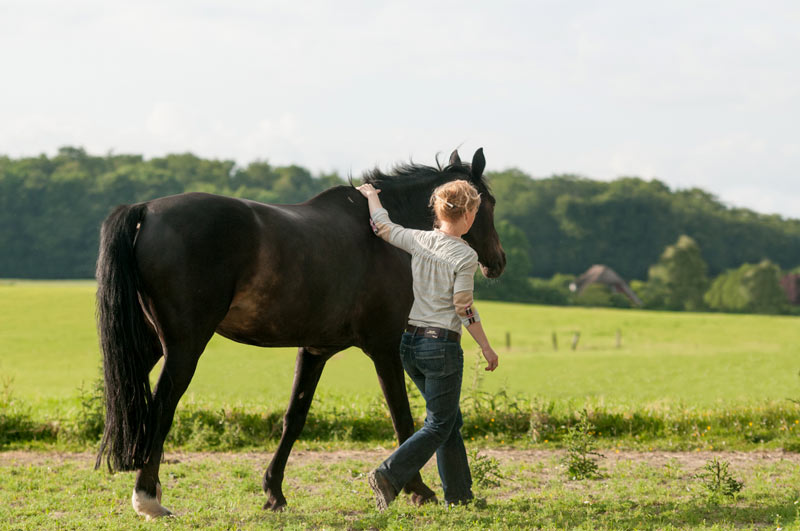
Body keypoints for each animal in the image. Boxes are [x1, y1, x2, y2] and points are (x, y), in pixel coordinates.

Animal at [95, 147, 506, 520]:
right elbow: (402, 418)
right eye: (489, 203)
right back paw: (148, 499)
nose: (498, 262)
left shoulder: (314, 350)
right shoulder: (385, 348)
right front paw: (417, 490)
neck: (384, 239)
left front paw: (274, 492)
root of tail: (146, 210)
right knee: (161, 408)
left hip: (150, 345)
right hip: (184, 349)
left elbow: (294, 418)